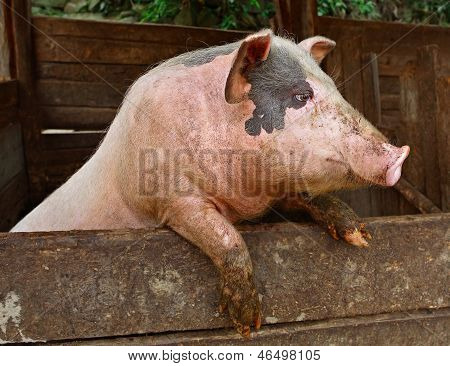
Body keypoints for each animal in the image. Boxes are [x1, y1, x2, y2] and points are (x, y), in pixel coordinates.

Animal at [12, 30, 410, 336]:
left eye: (336, 90)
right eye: (301, 96)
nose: (400, 153)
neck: (246, 196)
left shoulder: (271, 196)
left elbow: (307, 196)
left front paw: (360, 236)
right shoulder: (171, 203)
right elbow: (223, 235)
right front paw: (247, 323)